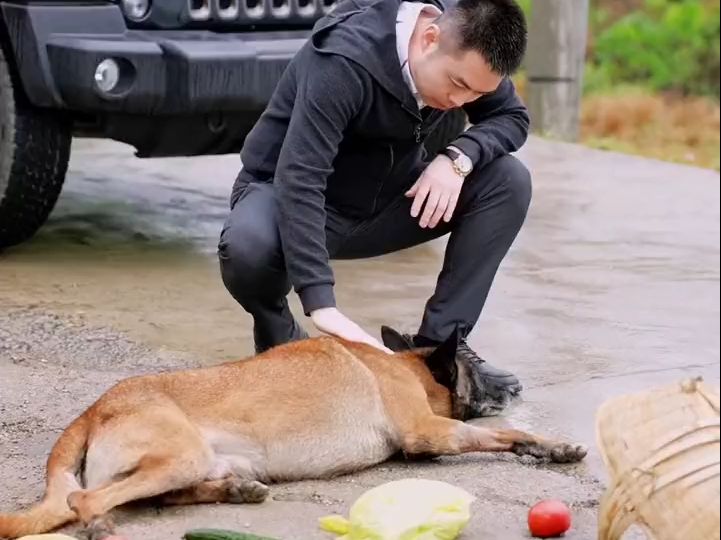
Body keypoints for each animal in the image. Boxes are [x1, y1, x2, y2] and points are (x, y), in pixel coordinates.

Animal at [0, 326, 584, 536]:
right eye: (476, 366)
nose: (517, 386)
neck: (406, 366)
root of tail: (94, 408)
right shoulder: (429, 434)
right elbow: (501, 436)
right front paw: (552, 445)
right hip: (182, 453)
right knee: (88, 501)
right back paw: (98, 524)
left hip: (196, 461)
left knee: (158, 496)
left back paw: (235, 491)